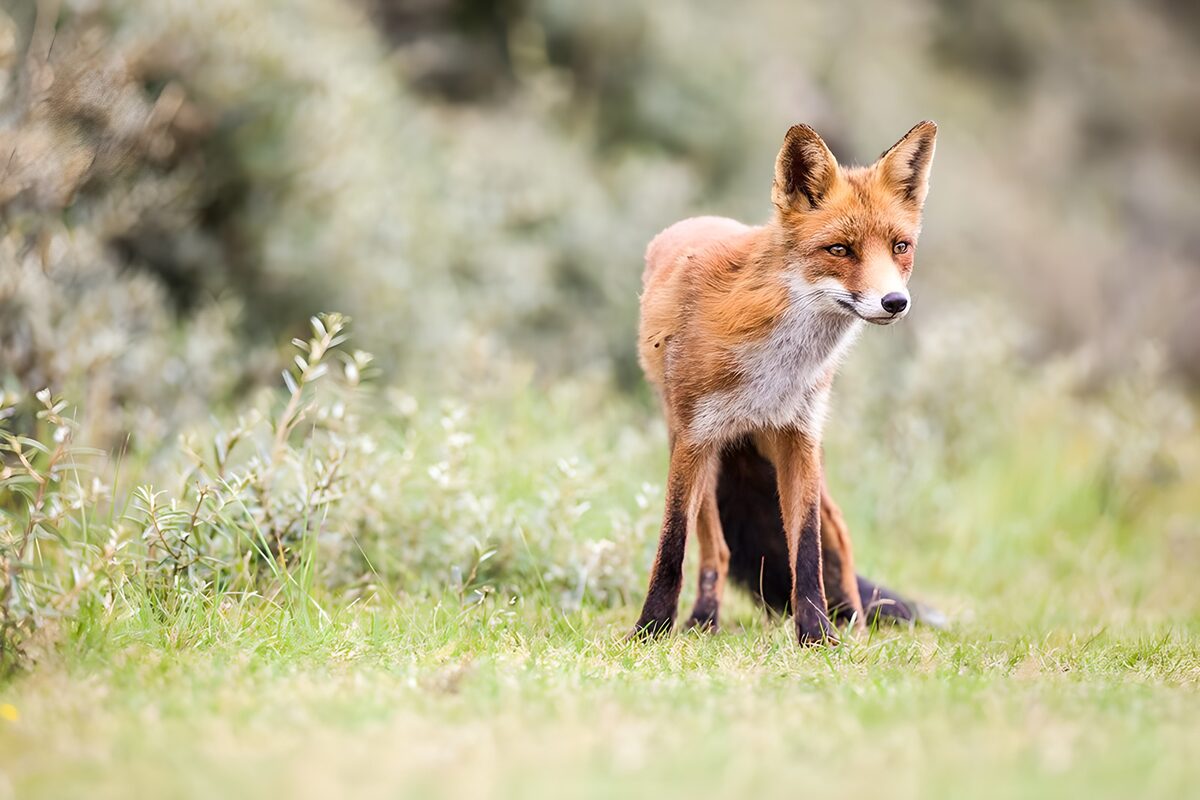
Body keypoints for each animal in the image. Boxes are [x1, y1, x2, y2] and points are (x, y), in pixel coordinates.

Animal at [632, 121, 938, 645]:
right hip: (703, 453)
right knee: (716, 550)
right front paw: (649, 630)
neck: (776, 369)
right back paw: (703, 620)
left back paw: (856, 626)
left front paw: (816, 634)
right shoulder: (694, 438)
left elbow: (807, 550)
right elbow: (672, 545)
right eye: (839, 249)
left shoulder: (800, 437)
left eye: (900, 247)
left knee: (837, 533)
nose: (895, 302)